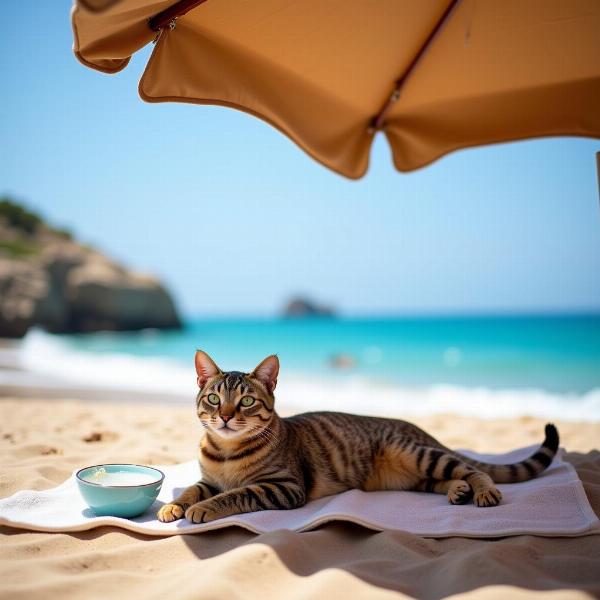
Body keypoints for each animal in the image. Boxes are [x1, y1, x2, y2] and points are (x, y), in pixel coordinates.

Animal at [157, 350, 560, 524]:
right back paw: (457, 491)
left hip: (417, 453)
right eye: (214, 398)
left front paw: (204, 509)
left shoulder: (283, 487)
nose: (225, 416)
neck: (226, 451)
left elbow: (236, 494)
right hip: (415, 475)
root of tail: (422, 431)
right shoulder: (210, 479)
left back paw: (483, 491)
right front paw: (174, 505)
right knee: (445, 479)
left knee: (473, 469)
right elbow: (193, 488)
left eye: (246, 401)